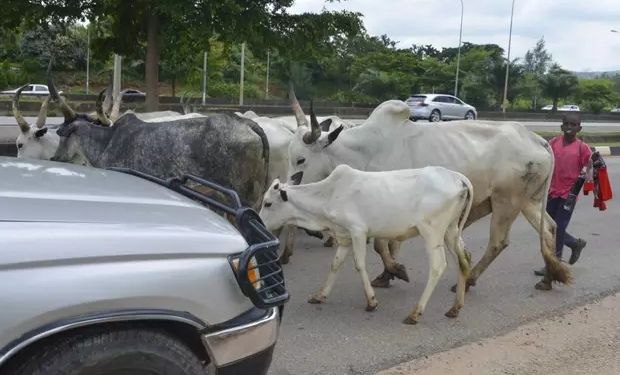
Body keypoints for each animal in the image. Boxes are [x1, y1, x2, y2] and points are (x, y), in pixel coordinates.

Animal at [260, 165, 472, 326]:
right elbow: (335, 265)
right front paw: (320, 295)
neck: (329, 195)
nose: (261, 224)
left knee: (438, 266)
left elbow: (359, 264)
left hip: (432, 232)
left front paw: (371, 301)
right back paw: (455, 308)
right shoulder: (345, 237)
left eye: (268, 203)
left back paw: (415, 313)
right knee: (463, 261)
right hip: (451, 230)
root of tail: (456, 177)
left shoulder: (358, 232)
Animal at [288, 98, 568, 292]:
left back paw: (469, 280)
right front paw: (387, 274)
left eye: (301, 159)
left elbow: (382, 245)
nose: (288, 189)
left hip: (506, 201)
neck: (364, 151)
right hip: (529, 200)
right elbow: (386, 245)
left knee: (499, 242)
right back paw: (549, 277)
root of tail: (537, 139)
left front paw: (395, 270)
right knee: (549, 229)